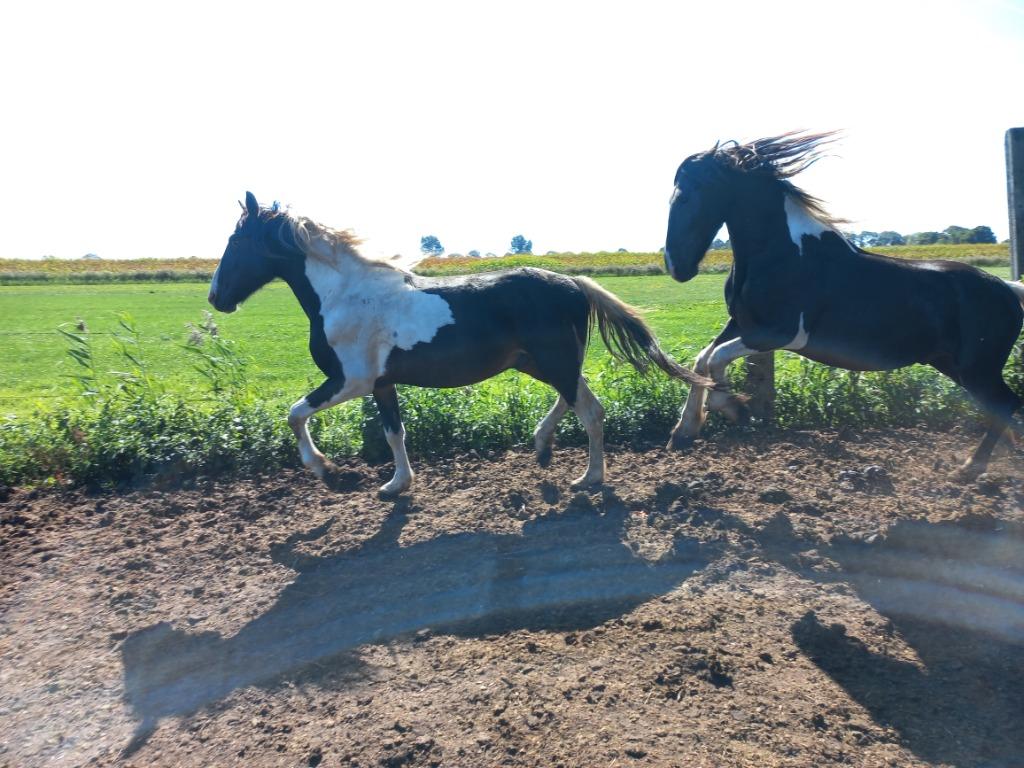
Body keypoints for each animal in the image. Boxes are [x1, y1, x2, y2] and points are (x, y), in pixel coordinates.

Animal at [209, 192, 712, 495]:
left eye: (236, 241)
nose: (216, 297)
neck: (343, 295)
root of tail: (572, 282)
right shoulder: (381, 384)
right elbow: (394, 432)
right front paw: (397, 485)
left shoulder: (350, 381)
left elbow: (295, 414)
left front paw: (324, 469)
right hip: (541, 363)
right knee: (580, 403)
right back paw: (543, 447)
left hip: (554, 362)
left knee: (588, 410)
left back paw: (588, 478)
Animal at [662, 131, 1024, 479]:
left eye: (684, 196)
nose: (677, 267)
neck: (782, 254)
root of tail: (1007, 289)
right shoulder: (741, 324)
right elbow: (702, 359)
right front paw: (684, 432)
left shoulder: (780, 333)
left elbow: (714, 359)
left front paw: (735, 408)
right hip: (952, 364)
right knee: (1002, 407)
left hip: (977, 369)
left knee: (1006, 403)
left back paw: (970, 467)